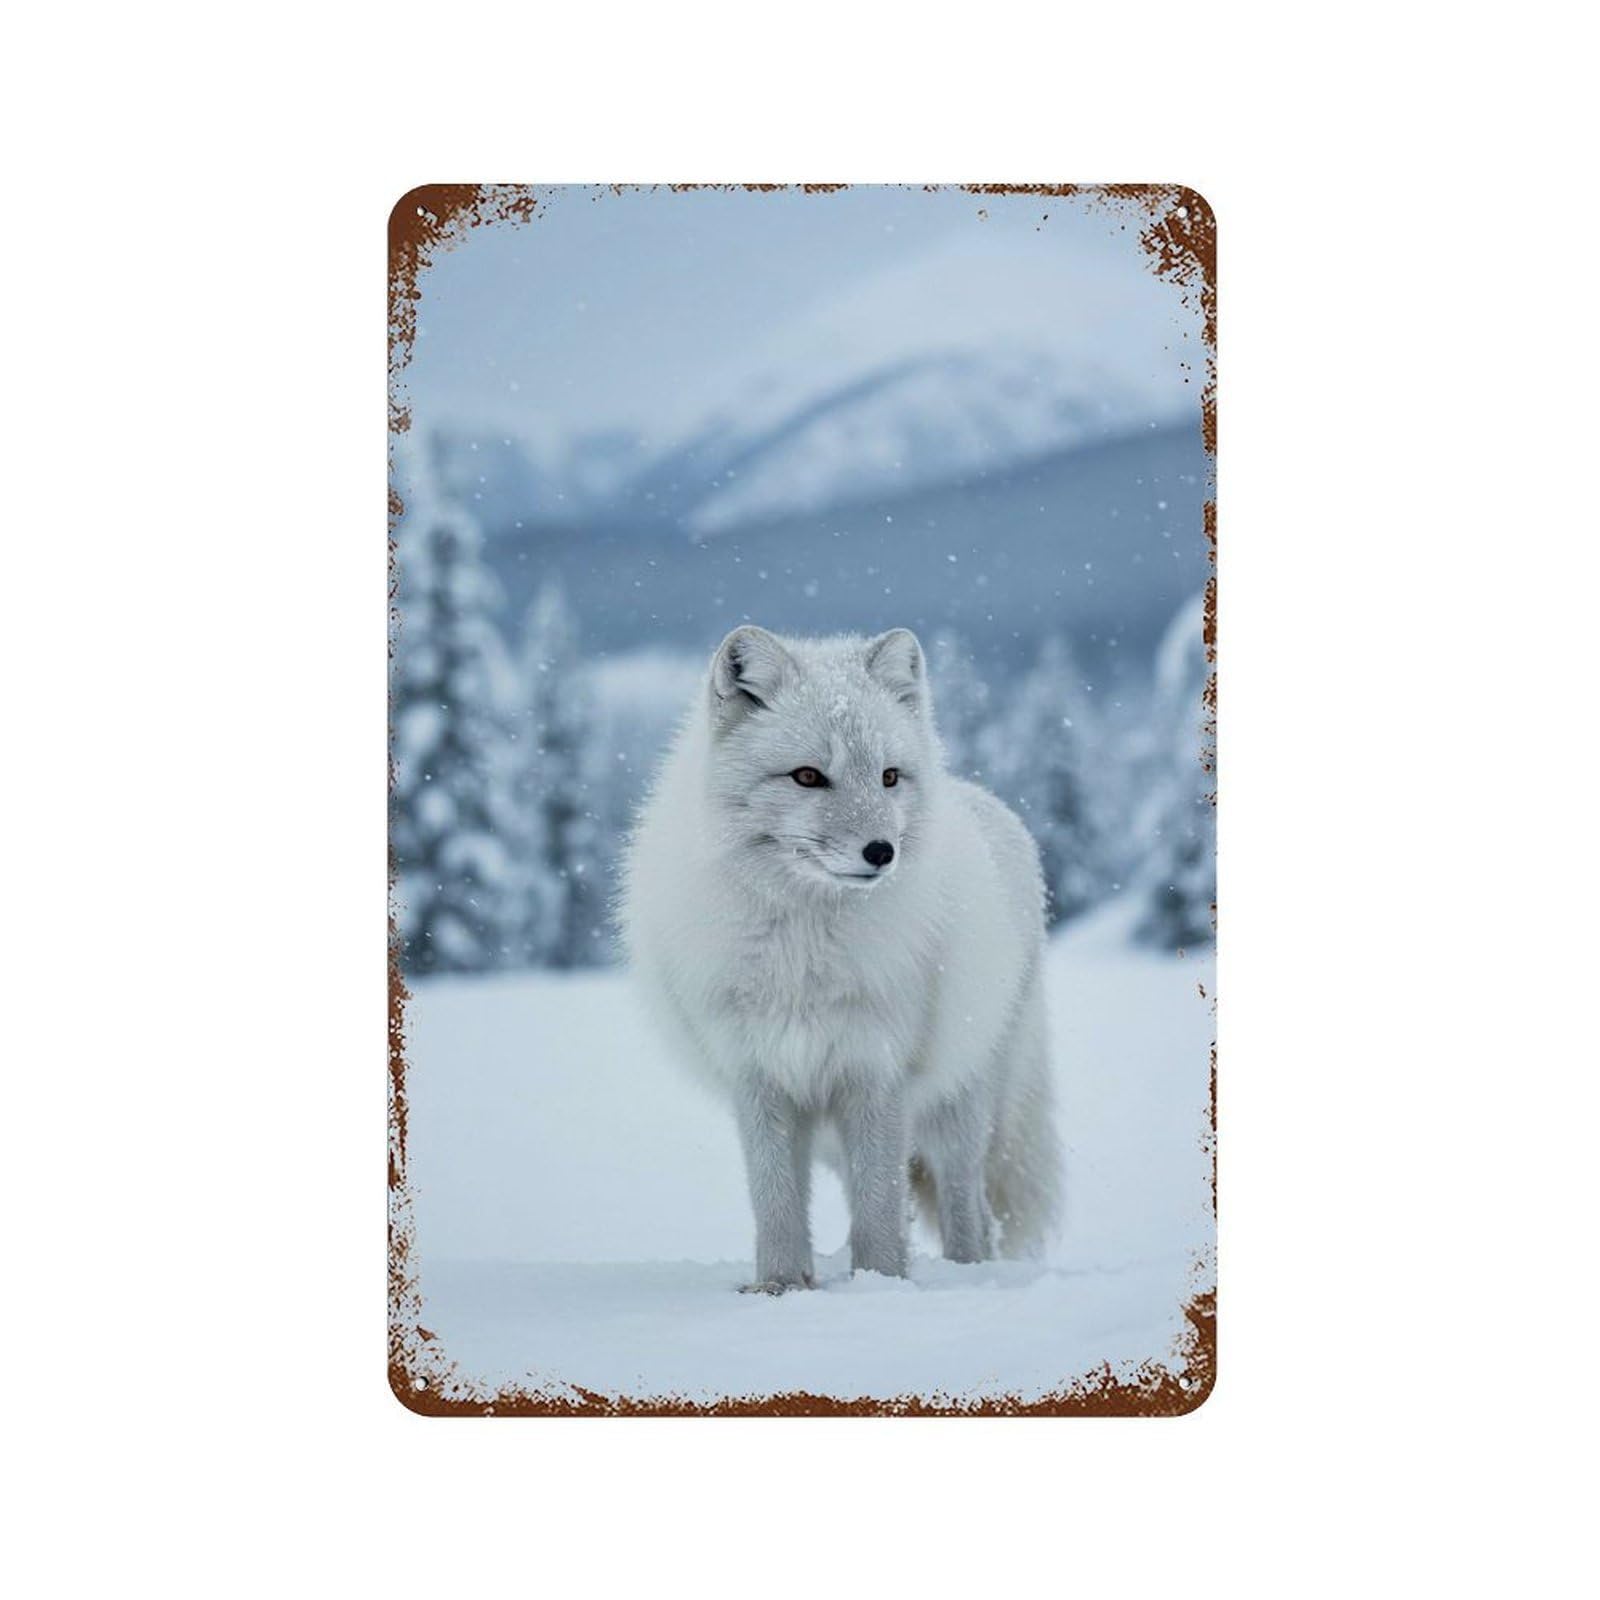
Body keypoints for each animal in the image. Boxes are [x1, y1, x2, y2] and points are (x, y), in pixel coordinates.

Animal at [621, 625, 1061, 1291]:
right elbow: (778, 1201)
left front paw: (880, 1287)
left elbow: (878, 1210)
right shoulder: (761, 1076)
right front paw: (780, 1288)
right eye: (807, 776)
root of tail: (990, 804)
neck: (802, 955)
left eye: (888, 777)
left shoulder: (875, 1071)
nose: (882, 852)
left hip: (960, 1105)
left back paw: (965, 1275)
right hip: (836, 1135)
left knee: (969, 1210)